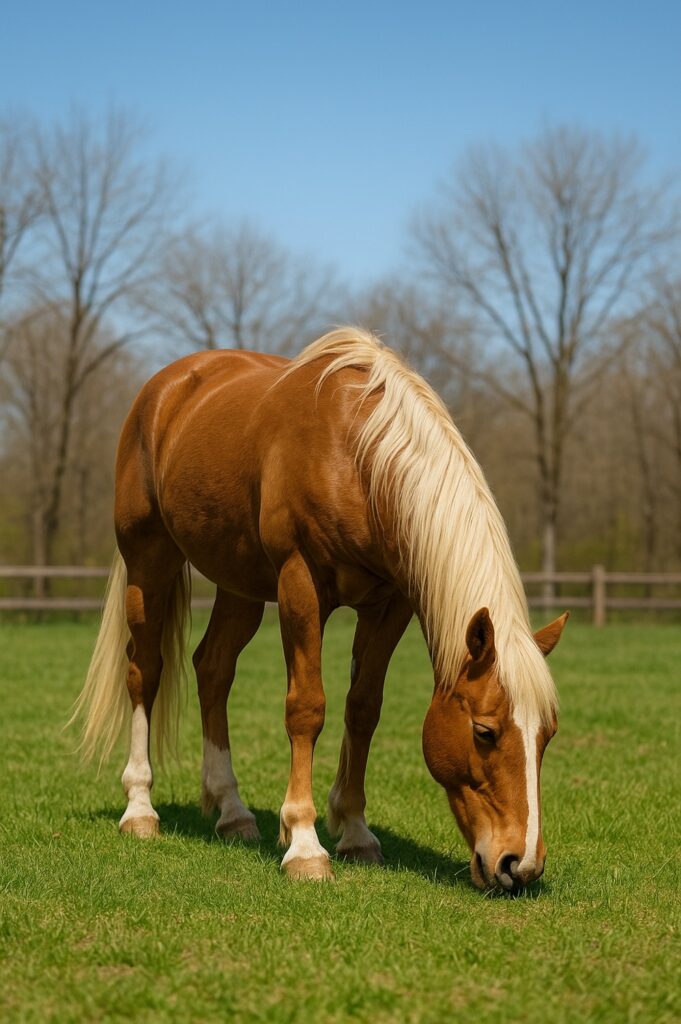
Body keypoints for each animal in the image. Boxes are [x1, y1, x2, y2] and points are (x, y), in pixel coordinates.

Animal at [73, 327, 567, 890]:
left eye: (548, 734)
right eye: (484, 731)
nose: (520, 864)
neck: (358, 458)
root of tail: (163, 390)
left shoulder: (389, 604)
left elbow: (363, 708)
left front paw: (354, 832)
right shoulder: (300, 586)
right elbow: (307, 708)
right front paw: (305, 845)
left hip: (241, 587)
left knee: (213, 669)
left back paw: (233, 812)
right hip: (148, 561)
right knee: (145, 671)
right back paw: (140, 808)